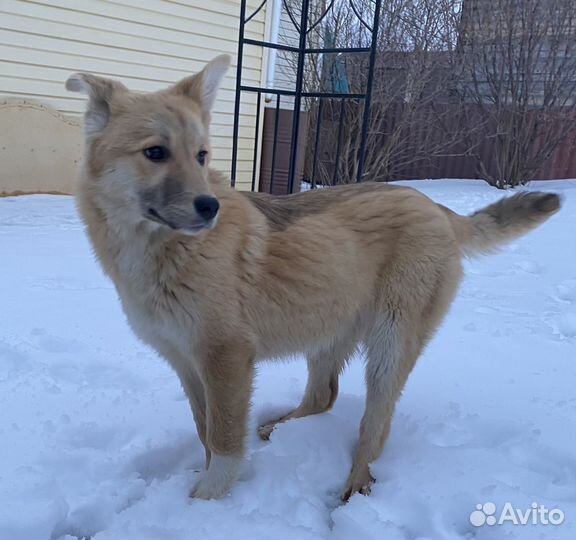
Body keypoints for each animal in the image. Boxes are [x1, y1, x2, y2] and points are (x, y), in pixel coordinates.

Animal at [65, 56, 560, 502]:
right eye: (155, 153)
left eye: (201, 155)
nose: (209, 207)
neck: (161, 251)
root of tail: (436, 208)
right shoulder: (187, 362)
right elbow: (205, 431)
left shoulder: (226, 357)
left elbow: (223, 440)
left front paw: (205, 502)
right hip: (326, 329)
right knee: (325, 396)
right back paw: (279, 426)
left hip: (390, 344)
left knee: (375, 425)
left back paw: (354, 486)